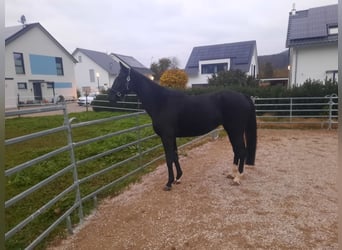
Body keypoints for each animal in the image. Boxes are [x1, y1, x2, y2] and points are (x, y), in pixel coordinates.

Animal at [109, 62, 256, 189]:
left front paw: (169, 183)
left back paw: (237, 178)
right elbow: (175, 156)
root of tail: (243, 96)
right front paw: (178, 178)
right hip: (231, 130)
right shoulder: (172, 137)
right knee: (236, 150)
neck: (161, 102)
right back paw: (232, 174)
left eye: (120, 78)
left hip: (236, 130)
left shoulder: (167, 137)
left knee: (241, 151)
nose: (111, 97)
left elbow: (169, 158)